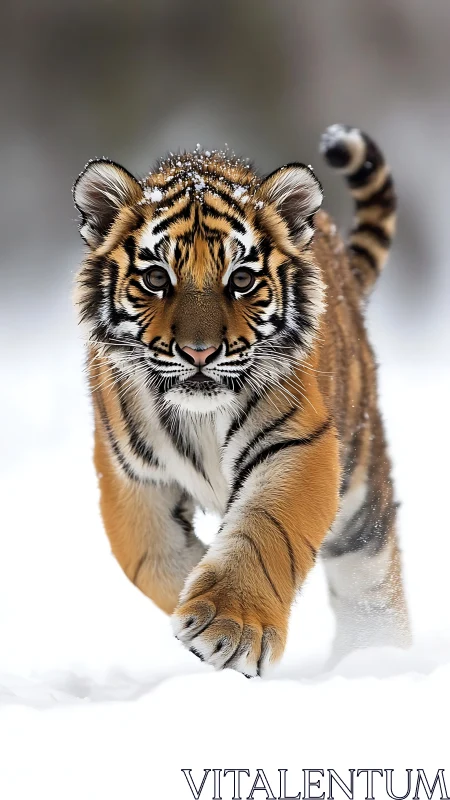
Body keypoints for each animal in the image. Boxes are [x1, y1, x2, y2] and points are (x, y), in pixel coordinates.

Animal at [73, 124, 410, 677]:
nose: (199, 352)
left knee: (372, 582)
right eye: (157, 278)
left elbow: (264, 530)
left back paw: (377, 658)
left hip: (361, 490)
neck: (200, 417)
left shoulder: (295, 443)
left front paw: (228, 627)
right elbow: (153, 558)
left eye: (242, 279)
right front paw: (194, 592)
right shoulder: (131, 477)